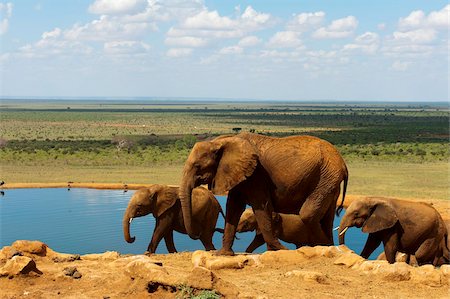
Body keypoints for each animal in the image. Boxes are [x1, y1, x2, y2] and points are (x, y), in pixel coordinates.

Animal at [179, 132, 348, 256]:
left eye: (197, 166)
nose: (197, 234)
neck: (220, 141)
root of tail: (343, 163)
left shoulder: (256, 175)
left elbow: (260, 207)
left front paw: (280, 250)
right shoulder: (240, 175)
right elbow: (233, 207)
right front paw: (223, 254)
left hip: (326, 176)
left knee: (308, 214)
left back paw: (324, 246)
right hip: (329, 180)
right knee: (327, 217)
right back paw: (328, 247)